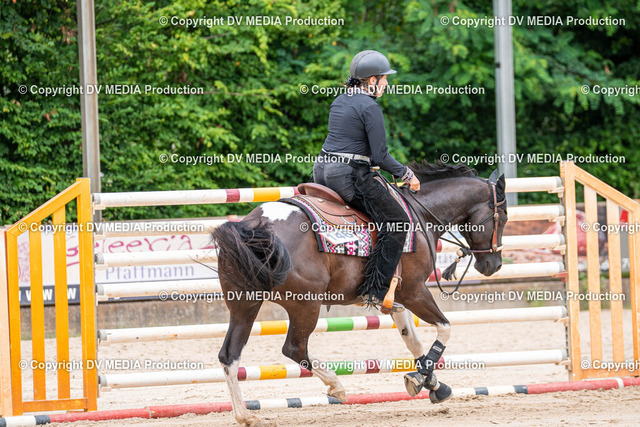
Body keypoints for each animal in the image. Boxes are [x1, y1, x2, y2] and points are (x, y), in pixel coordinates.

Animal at [212, 161, 508, 426]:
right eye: (503, 216)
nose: (493, 264)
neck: (421, 215)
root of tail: (255, 224)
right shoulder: (414, 291)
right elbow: (445, 328)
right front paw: (420, 378)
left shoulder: (395, 299)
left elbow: (412, 341)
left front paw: (433, 384)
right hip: (305, 305)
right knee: (294, 347)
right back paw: (336, 386)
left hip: (244, 305)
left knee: (229, 355)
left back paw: (245, 415)